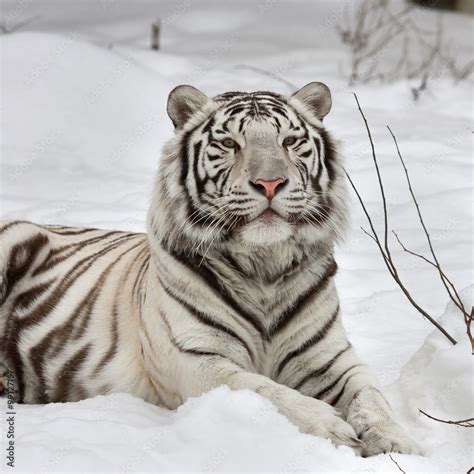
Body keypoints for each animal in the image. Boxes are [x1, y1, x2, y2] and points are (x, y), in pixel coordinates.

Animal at [0, 81, 420, 456]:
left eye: (288, 141)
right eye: (230, 144)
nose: (271, 183)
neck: (264, 266)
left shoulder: (330, 358)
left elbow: (370, 395)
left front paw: (398, 444)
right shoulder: (194, 359)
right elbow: (263, 389)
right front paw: (332, 427)